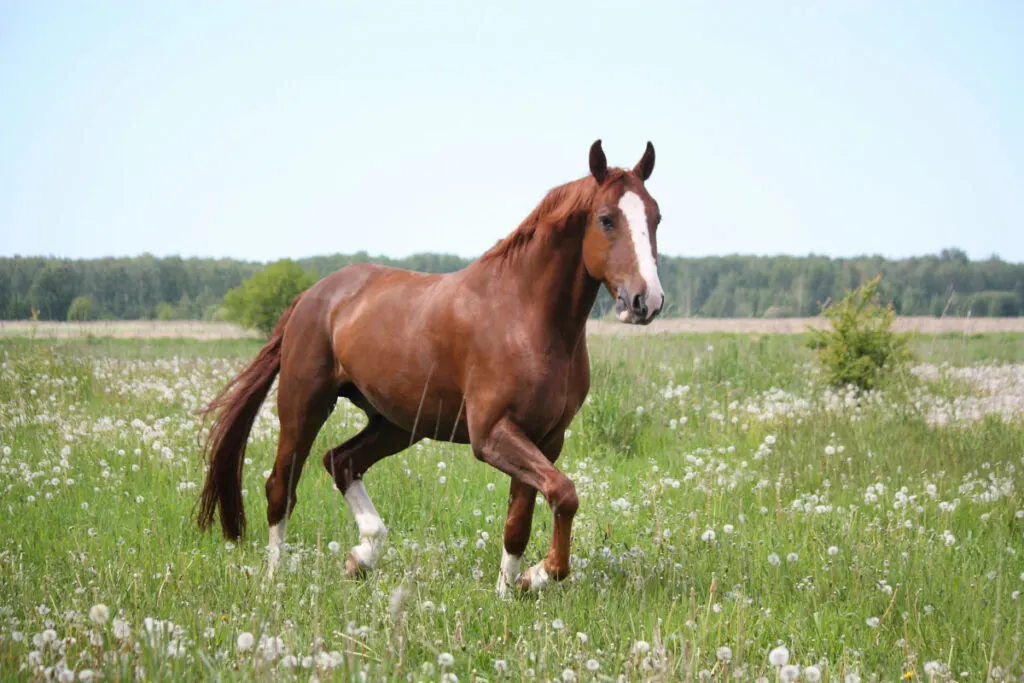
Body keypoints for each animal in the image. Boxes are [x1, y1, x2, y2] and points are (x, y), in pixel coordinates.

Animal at [198, 140, 663, 598]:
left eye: (656, 216)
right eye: (606, 219)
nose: (646, 302)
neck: (525, 317)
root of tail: (312, 296)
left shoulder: (546, 439)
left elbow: (520, 521)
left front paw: (510, 590)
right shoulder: (491, 434)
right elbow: (564, 494)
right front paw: (538, 575)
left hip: (398, 422)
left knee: (341, 461)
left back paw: (362, 555)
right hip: (304, 406)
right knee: (281, 487)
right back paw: (274, 579)